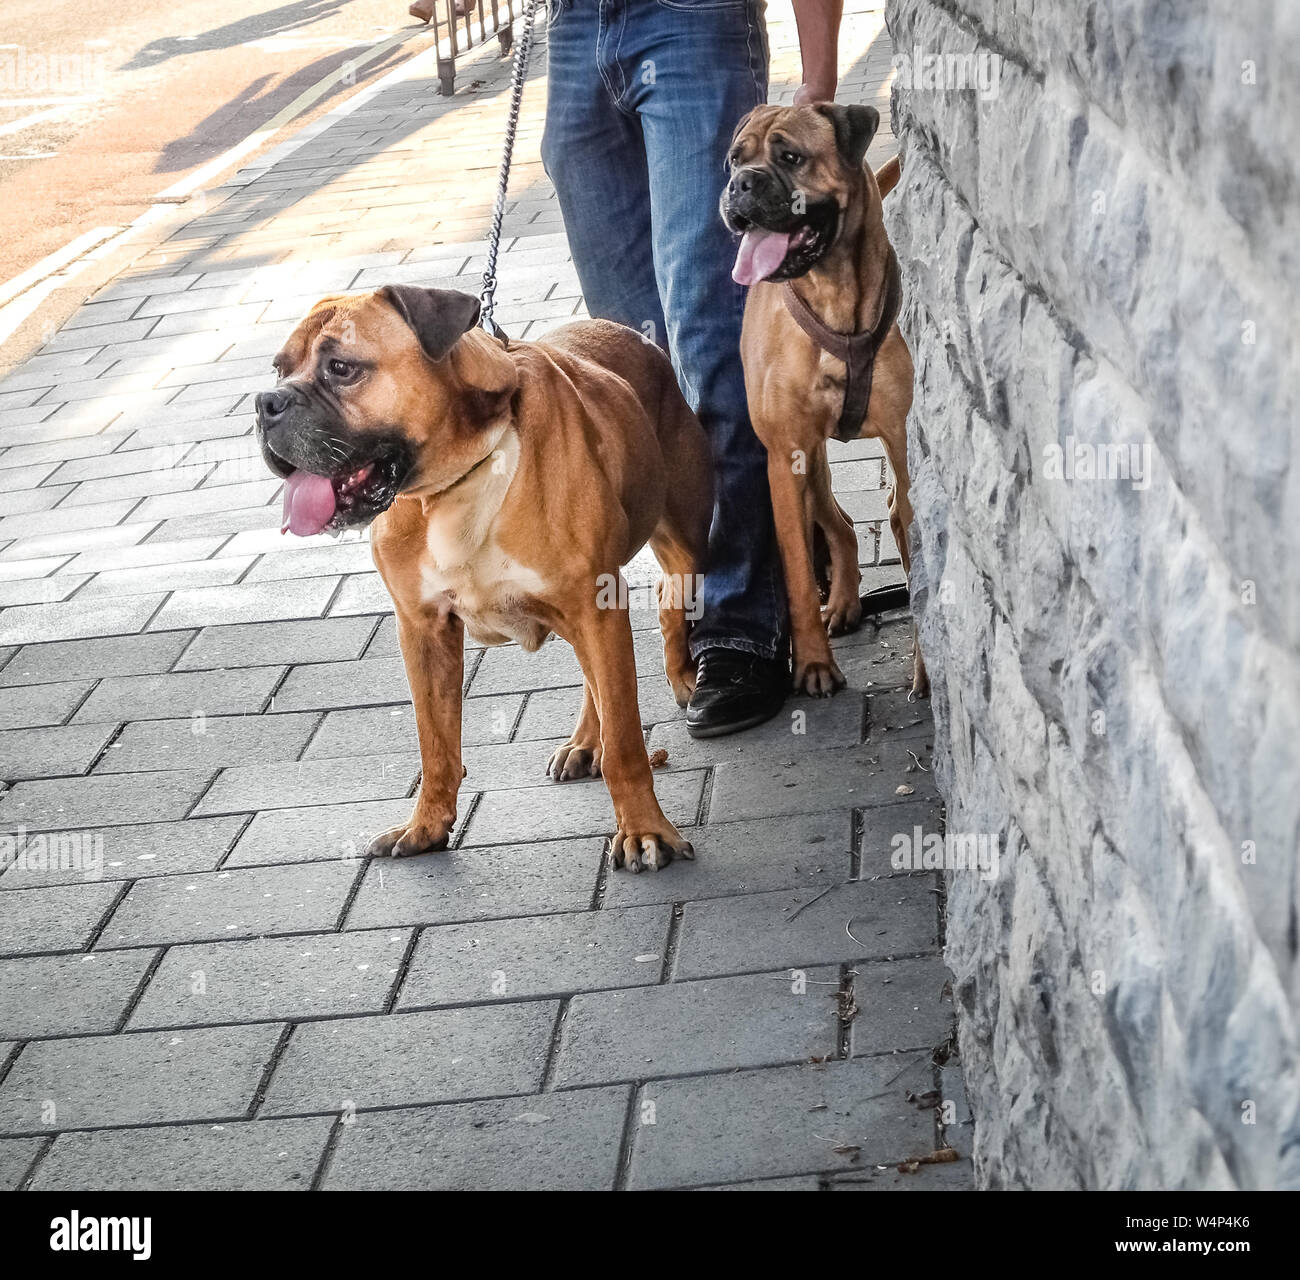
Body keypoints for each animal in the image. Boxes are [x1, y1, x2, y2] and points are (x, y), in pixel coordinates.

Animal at [254, 287, 717, 868]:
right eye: (279, 369)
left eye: (342, 368)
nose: (265, 403)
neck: (450, 484)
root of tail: (635, 337)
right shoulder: (423, 631)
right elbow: (436, 744)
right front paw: (427, 825)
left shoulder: (593, 607)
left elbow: (628, 745)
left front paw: (645, 830)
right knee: (596, 678)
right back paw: (587, 742)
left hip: (682, 547)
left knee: (666, 598)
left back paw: (679, 679)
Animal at [722, 103, 925, 696]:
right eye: (734, 160)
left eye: (791, 157)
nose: (740, 184)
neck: (834, 291)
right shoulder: (784, 458)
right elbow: (794, 566)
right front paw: (812, 663)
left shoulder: (903, 445)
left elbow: (919, 550)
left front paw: (926, 671)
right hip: (807, 460)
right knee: (836, 524)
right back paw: (841, 604)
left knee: (870, 519)